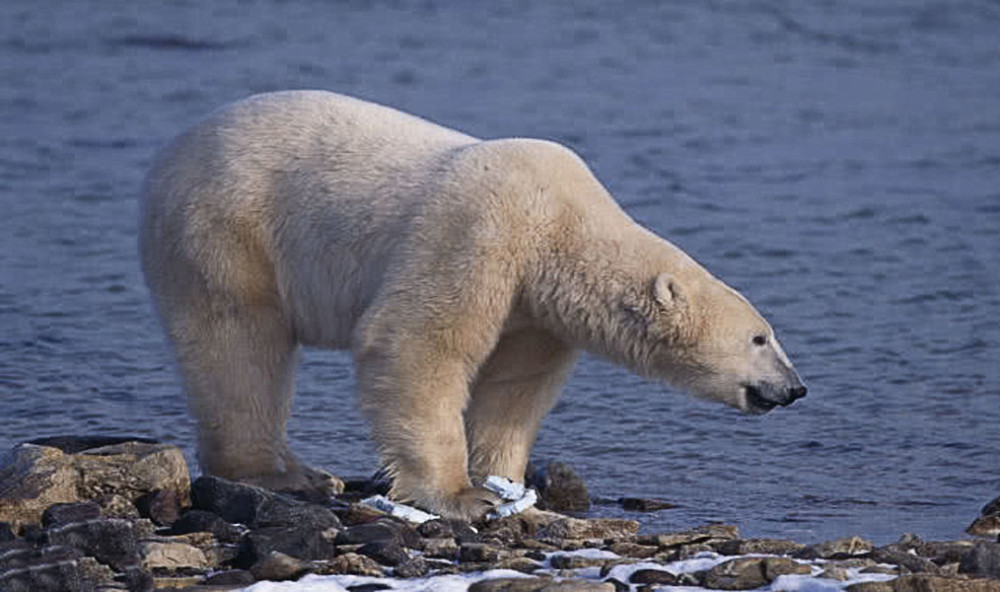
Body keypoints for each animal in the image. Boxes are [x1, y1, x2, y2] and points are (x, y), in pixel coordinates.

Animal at [139, 90, 804, 520]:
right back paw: (282, 473)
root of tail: (166, 157)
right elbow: (417, 344)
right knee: (240, 348)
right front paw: (463, 496)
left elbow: (516, 383)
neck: (559, 223)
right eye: (761, 337)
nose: (795, 389)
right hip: (228, 232)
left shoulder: (537, 306)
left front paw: (506, 479)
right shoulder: (478, 230)